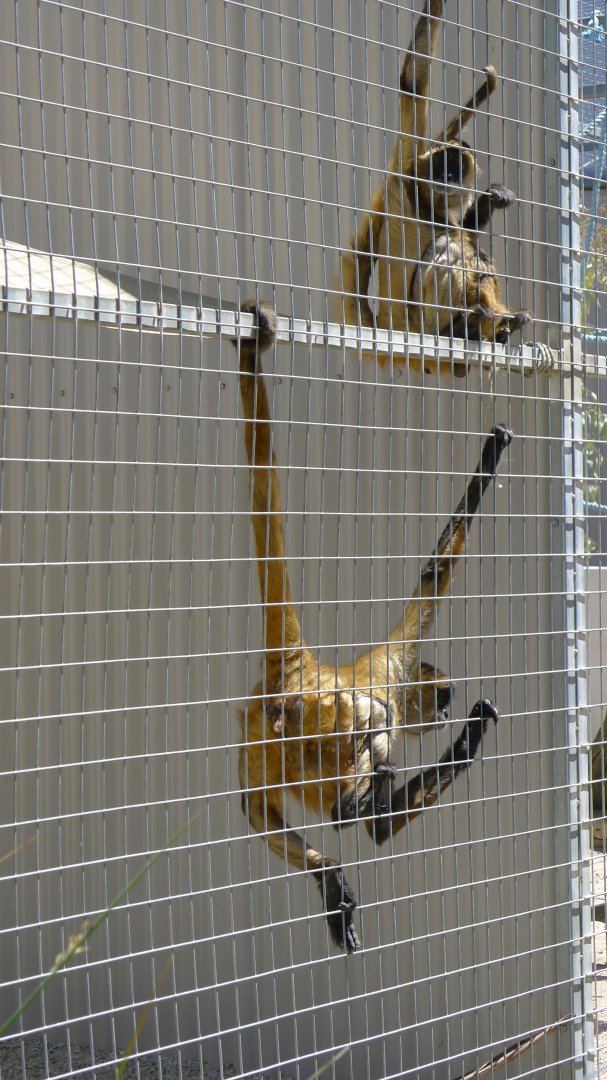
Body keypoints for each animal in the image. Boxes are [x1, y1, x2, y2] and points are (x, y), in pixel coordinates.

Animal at [235, 301, 509, 952]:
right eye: (442, 696)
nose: (444, 710)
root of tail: (301, 665)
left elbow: (381, 835)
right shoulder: (396, 661)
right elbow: (433, 575)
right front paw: (492, 452)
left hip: (259, 744)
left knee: (252, 807)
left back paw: (329, 875)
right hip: (311, 721)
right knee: (370, 723)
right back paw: (350, 810)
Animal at [336, 0, 530, 375]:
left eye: (455, 170)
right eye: (441, 168)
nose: (446, 179)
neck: (430, 205)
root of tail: (392, 326)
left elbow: (467, 229)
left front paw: (495, 196)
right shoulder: (410, 173)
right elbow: (412, 83)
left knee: (474, 250)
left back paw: (496, 328)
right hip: (421, 318)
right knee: (453, 247)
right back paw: (464, 327)